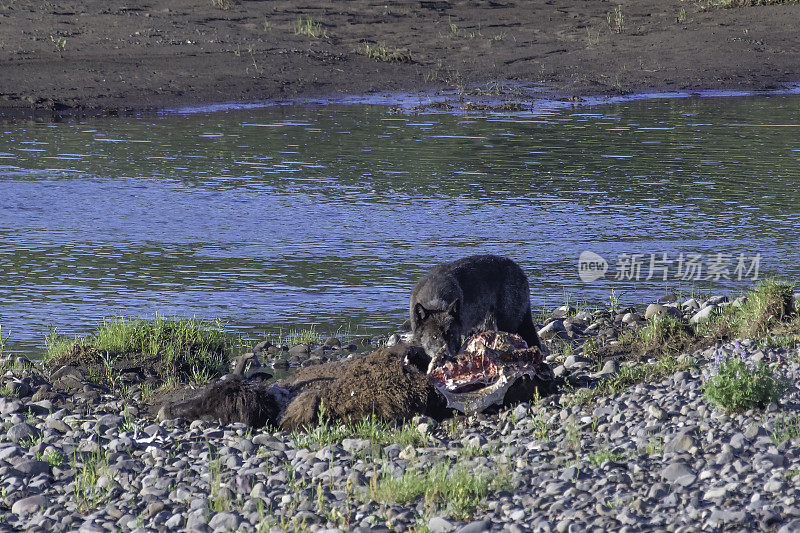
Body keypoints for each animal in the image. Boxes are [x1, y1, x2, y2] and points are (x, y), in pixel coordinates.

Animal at [410, 254, 540, 366]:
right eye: (434, 337)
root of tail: (520, 271)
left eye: (451, 335)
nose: (446, 357)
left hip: (507, 325)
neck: (436, 300)